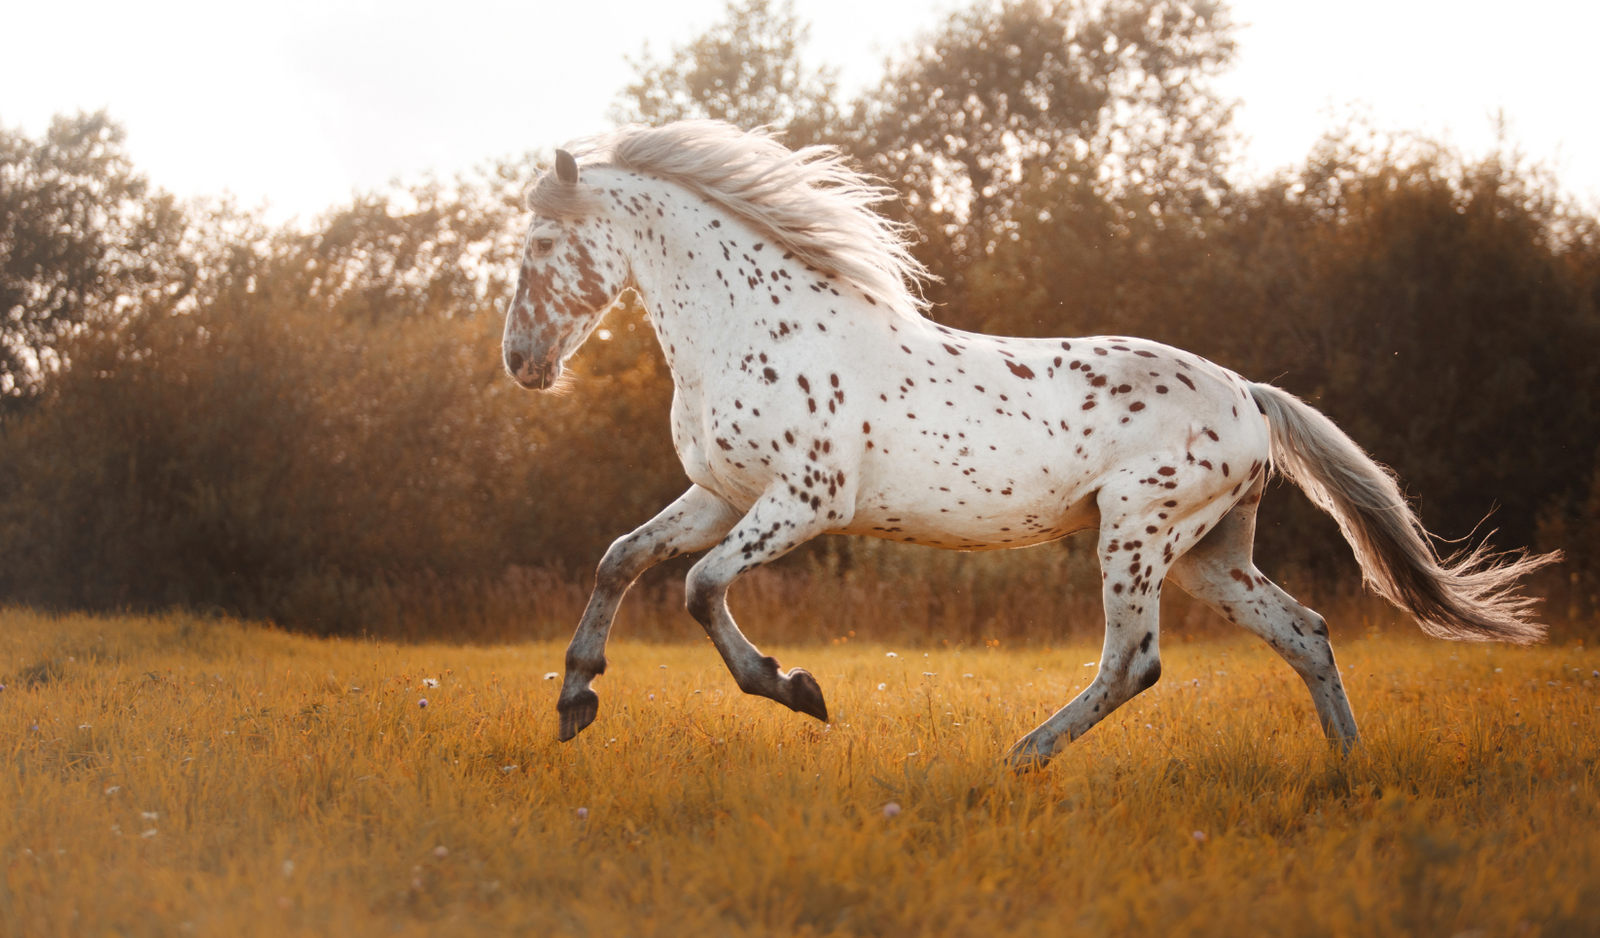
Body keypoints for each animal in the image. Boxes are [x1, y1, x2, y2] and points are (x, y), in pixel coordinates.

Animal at [500, 120, 1554, 766]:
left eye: (541, 247)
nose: (521, 363)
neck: (757, 326)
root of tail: (1249, 396)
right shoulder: (722, 493)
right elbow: (620, 559)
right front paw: (575, 702)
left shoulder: (804, 501)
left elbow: (698, 586)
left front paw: (798, 690)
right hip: (1210, 554)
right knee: (1306, 632)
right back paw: (1345, 766)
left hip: (1136, 533)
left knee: (1134, 662)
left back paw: (1016, 759)